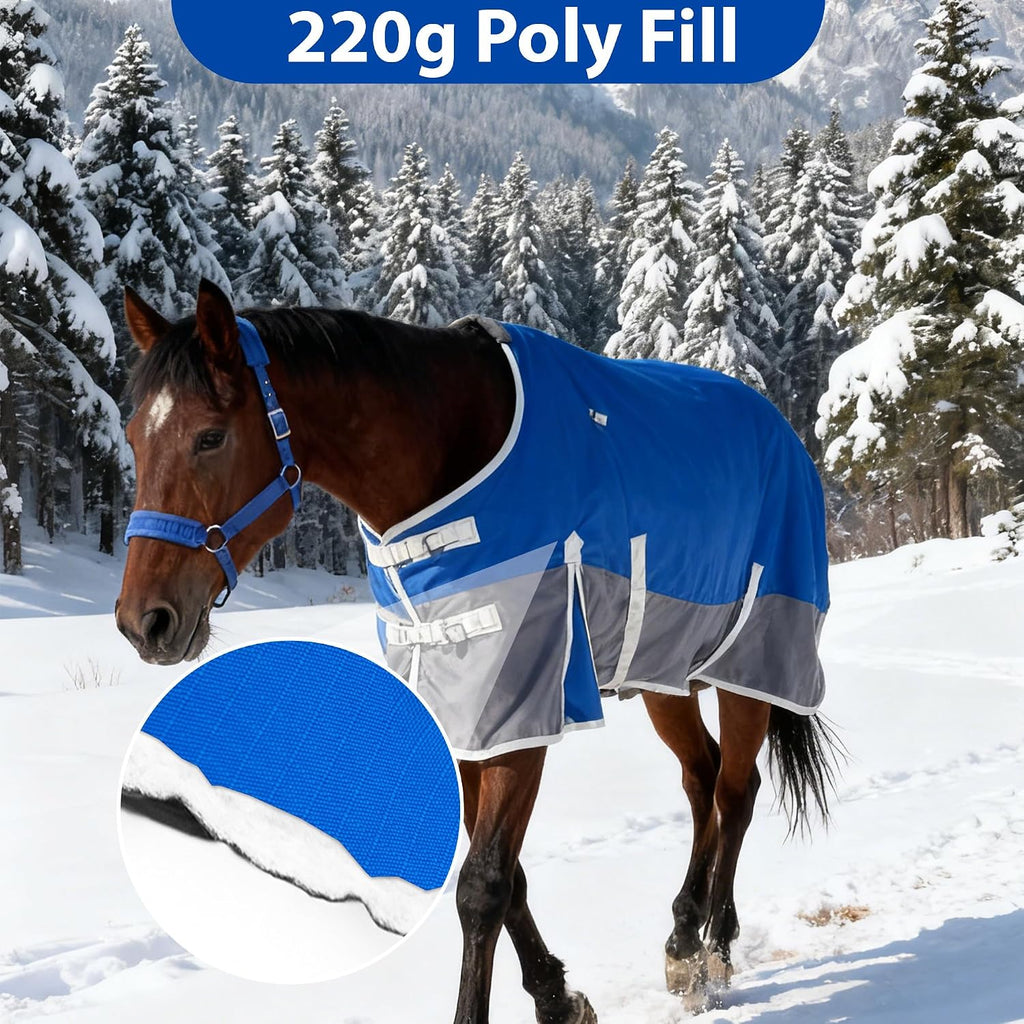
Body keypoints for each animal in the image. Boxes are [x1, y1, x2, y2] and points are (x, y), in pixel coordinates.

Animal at [115, 280, 840, 1022]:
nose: (145, 621)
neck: (449, 461)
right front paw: (557, 996)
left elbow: (482, 884)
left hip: (750, 667)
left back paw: (715, 952)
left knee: (737, 792)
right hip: (666, 672)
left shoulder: (521, 709)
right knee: (702, 781)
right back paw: (683, 942)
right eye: (136, 438)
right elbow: (508, 875)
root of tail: (783, 431)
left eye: (209, 436)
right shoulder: (462, 709)